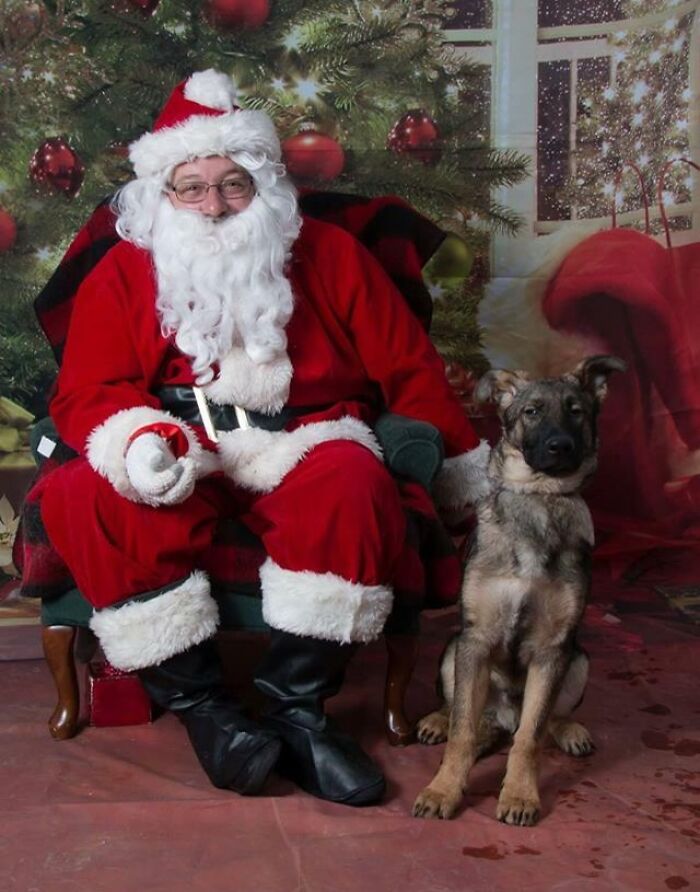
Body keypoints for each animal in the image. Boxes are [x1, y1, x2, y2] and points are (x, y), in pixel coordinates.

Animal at [412, 354, 628, 824]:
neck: (539, 495)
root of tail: (502, 716)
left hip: (578, 660)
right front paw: (443, 790)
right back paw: (438, 720)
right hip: (454, 649)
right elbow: (461, 732)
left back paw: (568, 730)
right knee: (463, 714)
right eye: (532, 412)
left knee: (542, 721)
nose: (560, 446)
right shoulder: (475, 639)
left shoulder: (552, 649)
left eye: (576, 411)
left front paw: (520, 794)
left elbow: (530, 738)